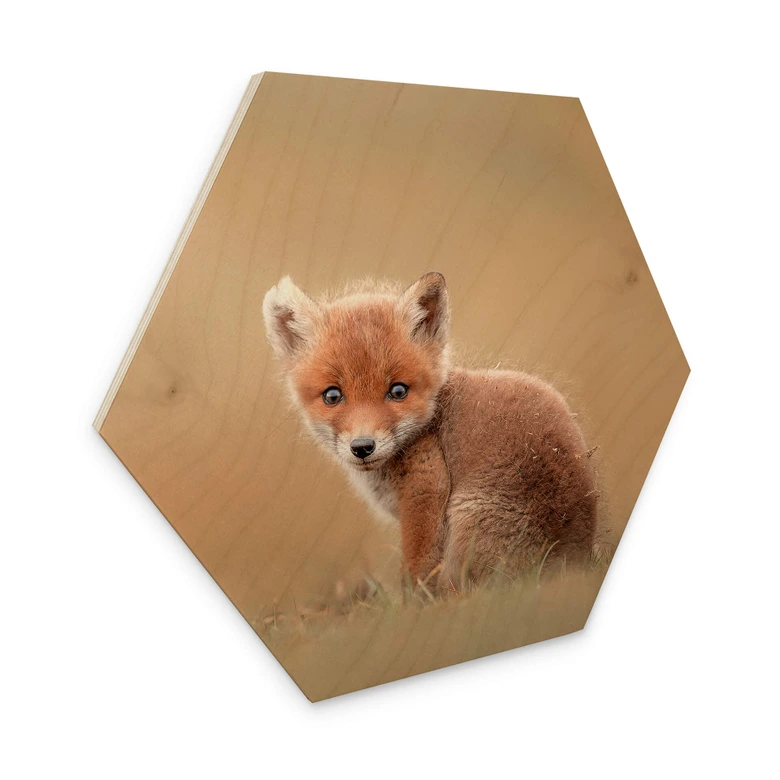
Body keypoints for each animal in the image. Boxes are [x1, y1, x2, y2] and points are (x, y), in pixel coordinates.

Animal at [263, 271, 597, 592]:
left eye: (398, 391)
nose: (362, 446)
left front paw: (413, 609)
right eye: (332, 396)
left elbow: (417, 571)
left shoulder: (426, 486)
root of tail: (573, 558)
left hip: (467, 524)